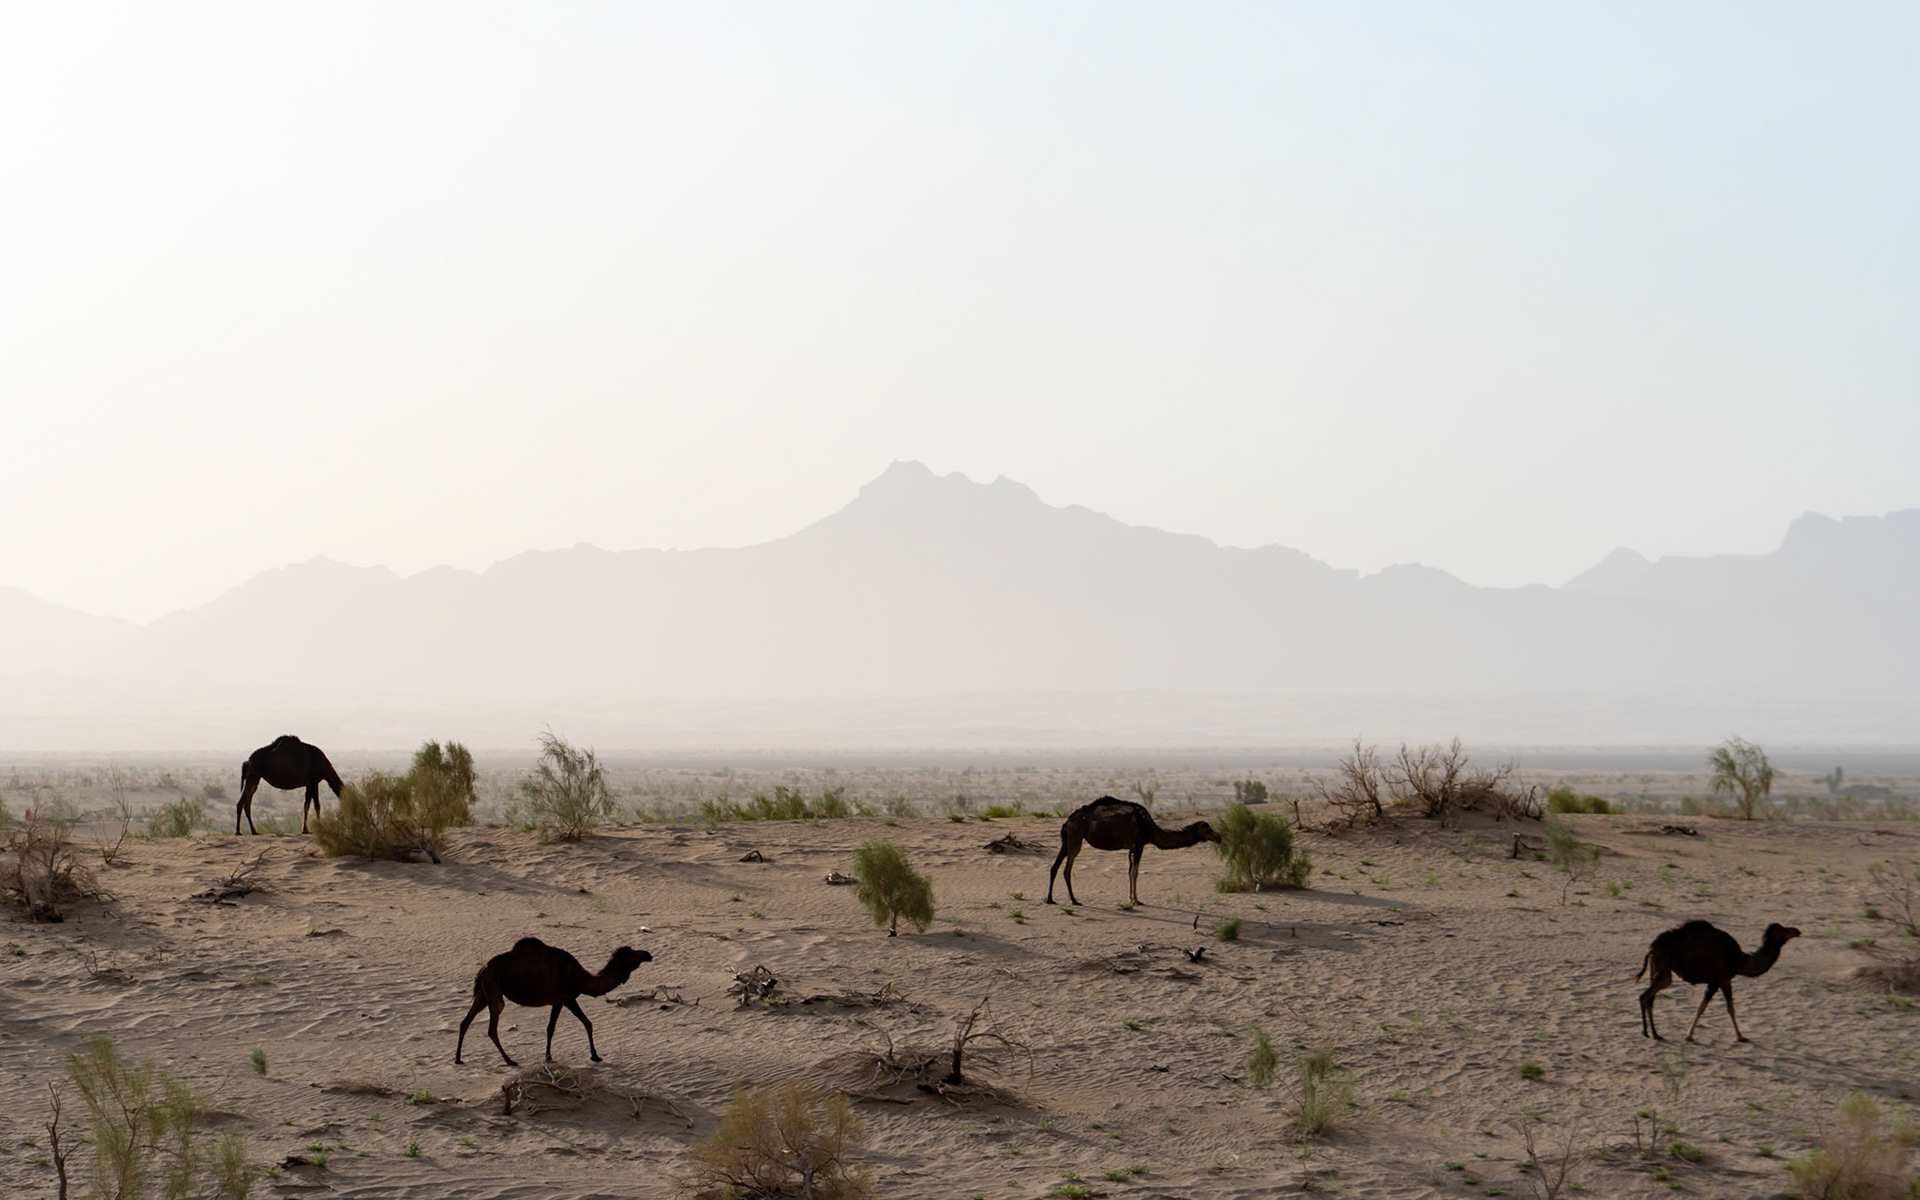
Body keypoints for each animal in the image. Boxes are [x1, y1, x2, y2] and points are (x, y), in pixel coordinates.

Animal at [455, 937, 653, 1067]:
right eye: (631, 952)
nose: (648, 954)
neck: (582, 979)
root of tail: (482, 970)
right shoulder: (567, 998)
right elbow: (586, 1023)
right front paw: (595, 1056)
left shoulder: (558, 1001)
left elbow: (551, 1028)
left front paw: (548, 1056)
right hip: (494, 988)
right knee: (492, 1027)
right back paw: (510, 1060)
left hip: (484, 992)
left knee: (465, 1021)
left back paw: (458, 1058)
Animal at [1046, 796, 1221, 907]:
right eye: (1207, 828)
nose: (1219, 837)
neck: (1150, 828)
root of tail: (1067, 821)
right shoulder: (1139, 844)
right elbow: (1135, 873)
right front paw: (1137, 900)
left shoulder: (1131, 848)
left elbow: (1129, 872)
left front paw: (1131, 899)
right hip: (1076, 836)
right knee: (1067, 869)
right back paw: (1074, 900)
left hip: (1067, 838)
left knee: (1055, 866)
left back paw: (1050, 899)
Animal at [1637, 919, 1800, 1043]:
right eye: (1783, 930)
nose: (1797, 931)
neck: (1738, 959)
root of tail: (1651, 948)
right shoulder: (1722, 979)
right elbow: (1721, 1008)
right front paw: (1740, 1036)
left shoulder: (1718, 981)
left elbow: (1712, 1007)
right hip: (1664, 969)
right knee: (1645, 995)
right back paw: (1646, 1032)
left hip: (1656, 967)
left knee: (1650, 997)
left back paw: (1655, 1034)